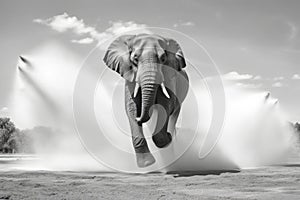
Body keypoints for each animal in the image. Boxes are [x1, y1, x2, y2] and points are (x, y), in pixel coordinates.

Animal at [102, 33, 188, 168]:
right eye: (135, 59)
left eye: (163, 59)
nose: (139, 116)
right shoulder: (129, 74)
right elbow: (131, 107)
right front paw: (147, 164)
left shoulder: (169, 76)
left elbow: (166, 105)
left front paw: (168, 139)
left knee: (173, 115)